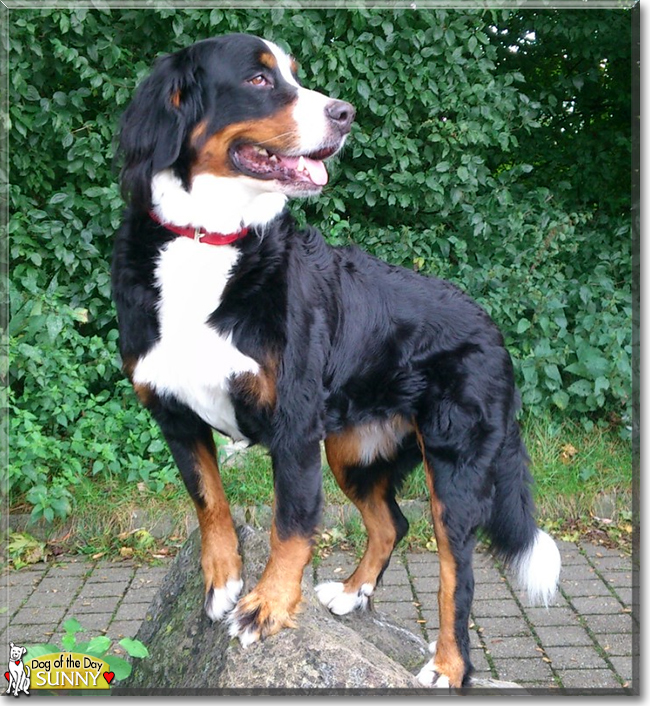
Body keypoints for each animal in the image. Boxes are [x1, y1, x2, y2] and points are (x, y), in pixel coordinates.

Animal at [111, 34, 556, 688]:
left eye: (296, 74)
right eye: (259, 79)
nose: (345, 114)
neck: (208, 242)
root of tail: (493, 330)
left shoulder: (295, 423)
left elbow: (292, 523)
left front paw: (268, 606)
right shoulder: (173, 413)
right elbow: (209, 503)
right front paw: (223, 581)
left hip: (454, 467)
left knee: (459, 575)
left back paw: (447, 665)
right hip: (353, 449)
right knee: (391, 523)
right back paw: (351, 593)